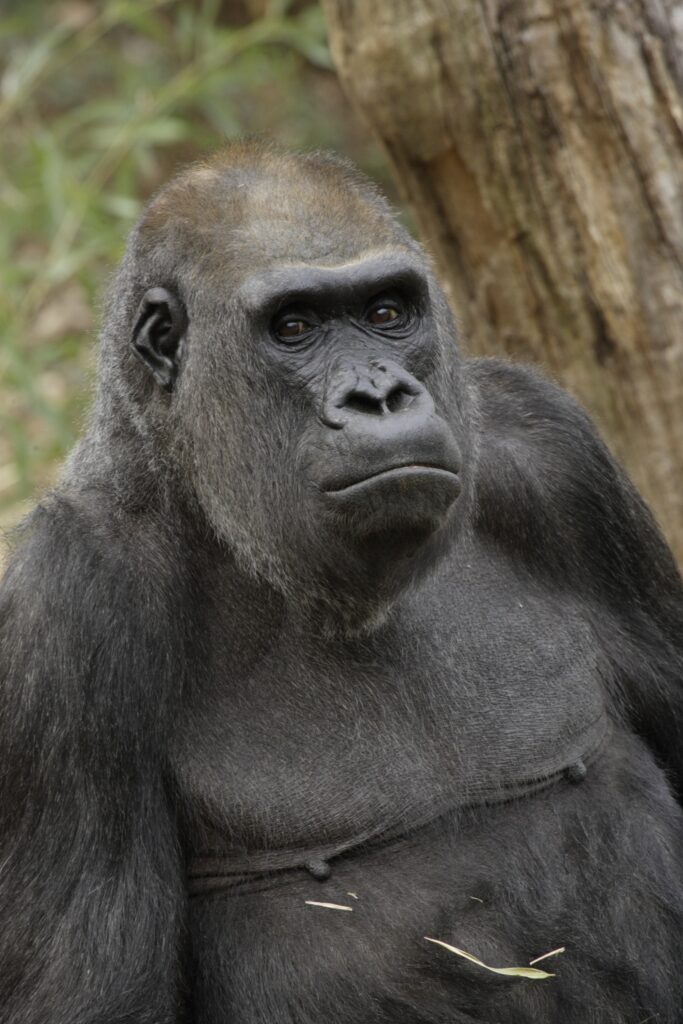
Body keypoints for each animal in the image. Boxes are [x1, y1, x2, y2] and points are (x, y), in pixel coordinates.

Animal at [1, 138, 683, 1024]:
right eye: (294, 327)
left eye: (388, 312)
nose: (380, 396)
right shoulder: (62, 611)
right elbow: (99, 999)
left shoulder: (554, 452)